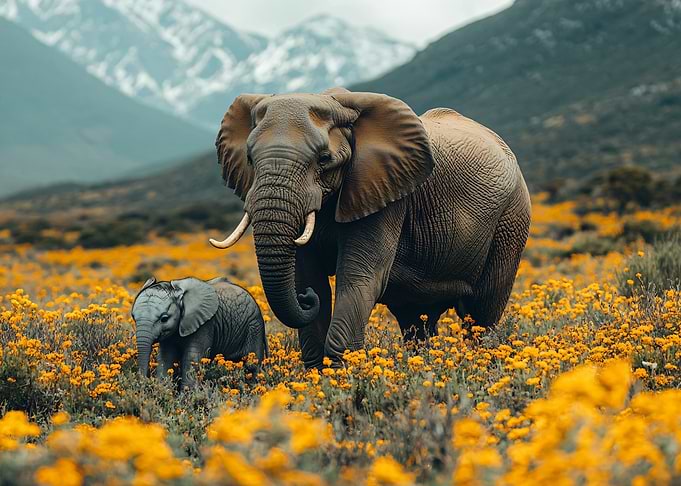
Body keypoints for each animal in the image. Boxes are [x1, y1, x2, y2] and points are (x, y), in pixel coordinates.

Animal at [132, 276, 267, 387]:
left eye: (164, 318)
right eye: (133, 317)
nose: (144, 382)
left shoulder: (205, 324)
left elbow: (192, 357)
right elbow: (166, 357)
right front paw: (165, 391)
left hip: (254, 326)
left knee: (251, 365)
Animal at [209, 87, 531, 369]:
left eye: (324, 159)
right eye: (250, 158)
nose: (305, 300)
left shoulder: (386, 194)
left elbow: (359, 277)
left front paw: (341, 375)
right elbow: (308, 276)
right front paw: (319, 375)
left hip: (511, 219)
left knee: (481, 312)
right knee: (417, 317)